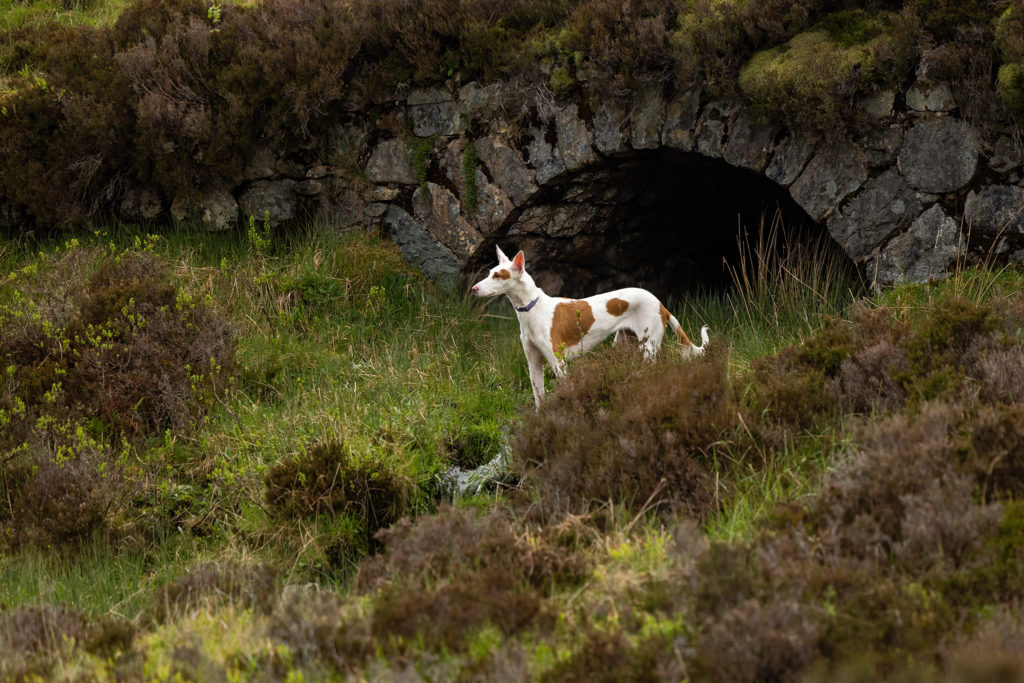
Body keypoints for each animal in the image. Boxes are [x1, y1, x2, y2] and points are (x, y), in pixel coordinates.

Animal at [473, 245, 708, 405]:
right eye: (489, 273)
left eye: (498, 275)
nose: (474, 288)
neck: (532, 309)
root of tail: (660, 304)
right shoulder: (534, 364)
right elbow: (539, 400)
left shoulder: (559, 364)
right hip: (624, 345)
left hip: (648, 349)